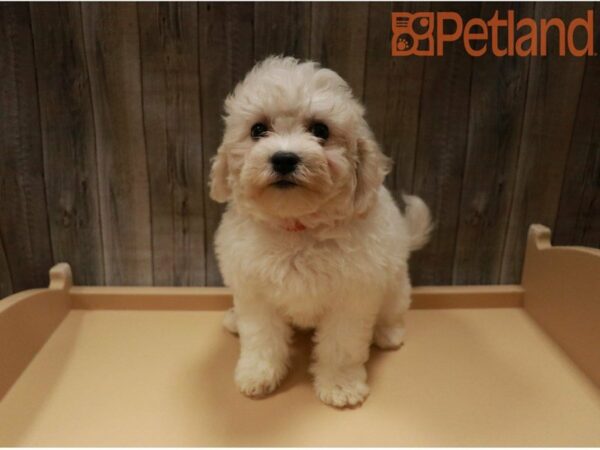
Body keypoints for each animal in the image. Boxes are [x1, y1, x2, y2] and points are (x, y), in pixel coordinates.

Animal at [210, 56, 432, 408]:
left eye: (320, 130)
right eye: (258, 129)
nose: (284, 159)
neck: (298, 225)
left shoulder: (352, 296)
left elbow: (342, 345)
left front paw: (340, 385)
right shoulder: (254, 291)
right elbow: (261, 336)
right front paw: (258, 374)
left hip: (396, 285)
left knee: (392, 311)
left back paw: (388, 334)